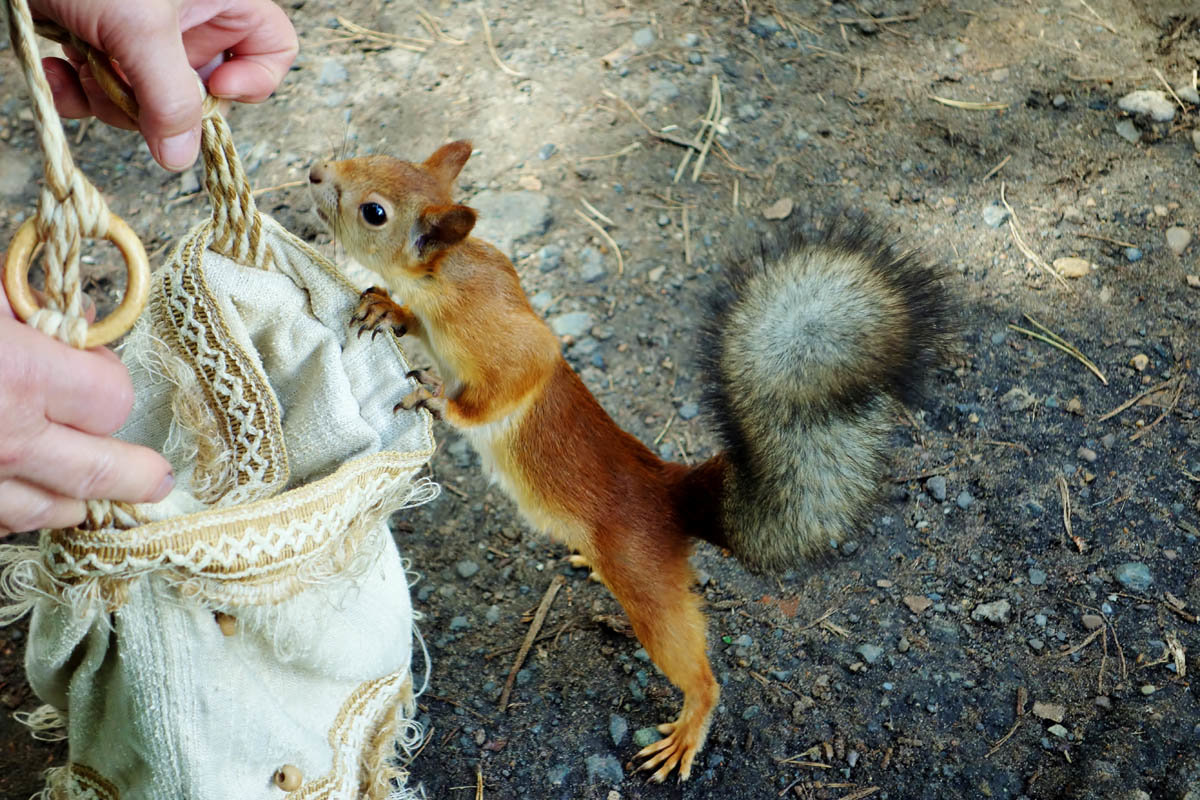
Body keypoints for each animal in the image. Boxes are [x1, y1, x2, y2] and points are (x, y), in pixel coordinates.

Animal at [307, 142, 955, 782]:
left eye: (373, 212)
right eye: (376, 154)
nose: (315, 171)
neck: (448, 270)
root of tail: (670, 496)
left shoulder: (507, 339)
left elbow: (507, 383)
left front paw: (436, 396)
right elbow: (412, 320)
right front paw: (386, 309)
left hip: (646, 585)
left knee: (696, 670)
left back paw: (690, 727)